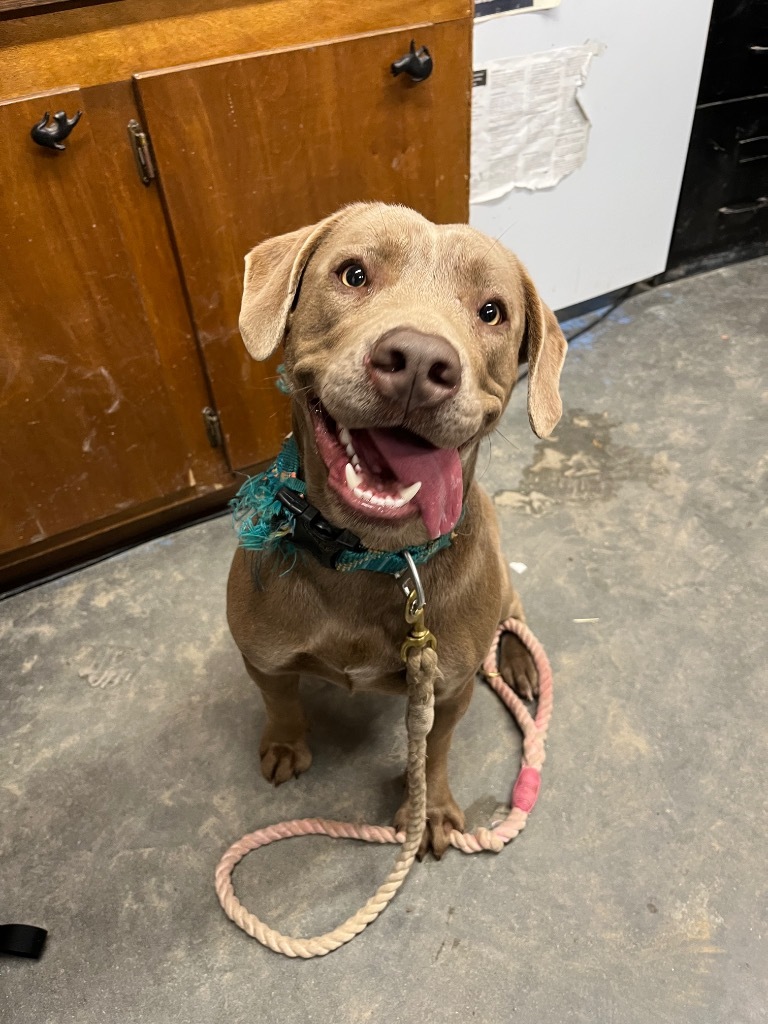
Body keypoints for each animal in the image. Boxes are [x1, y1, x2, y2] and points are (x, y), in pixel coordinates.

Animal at [225, 199, 569, 856]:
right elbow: (279, 701)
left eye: (492, 311)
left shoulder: (447, 691)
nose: (418, 361)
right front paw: (285, 744)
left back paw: (516, 659)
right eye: (353, 274)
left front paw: (428, 810)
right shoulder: (262, 657)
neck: (373, 557)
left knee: (512, 612)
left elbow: (433, 752)